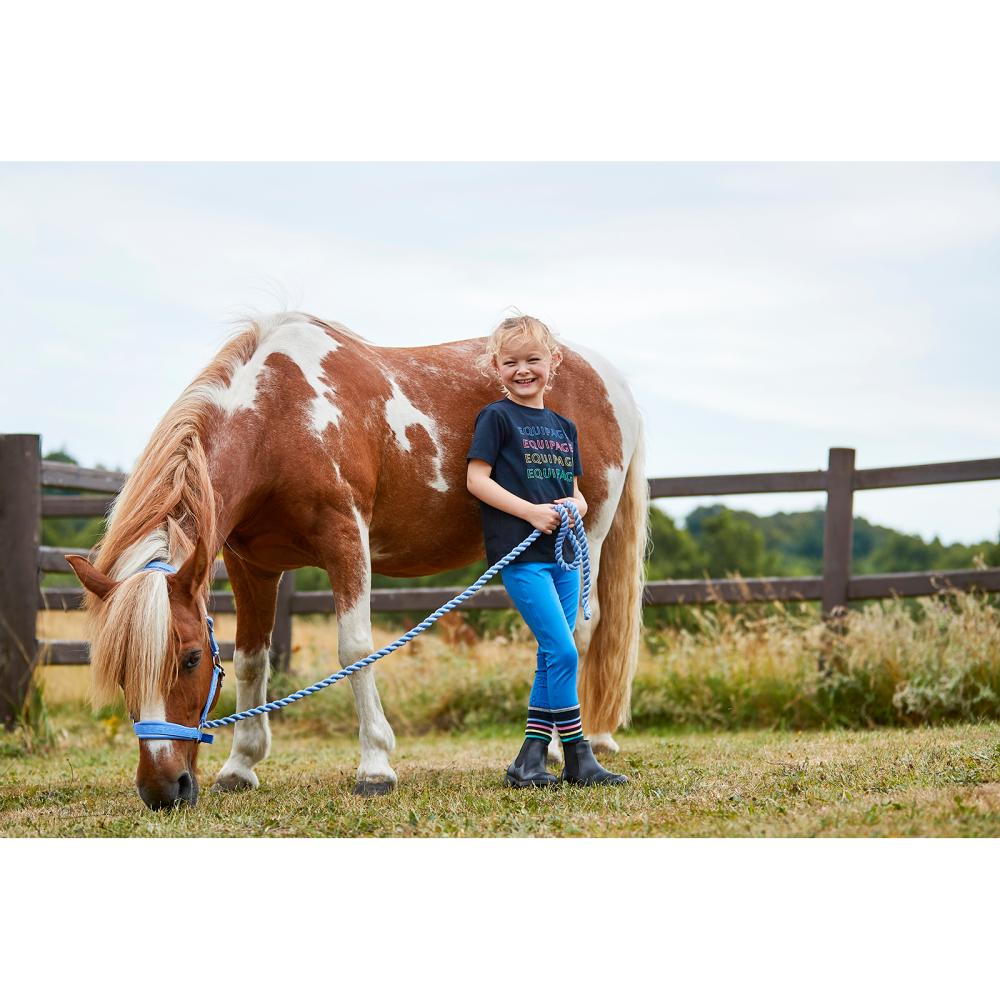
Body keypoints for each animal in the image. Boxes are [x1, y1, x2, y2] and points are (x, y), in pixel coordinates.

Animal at [67, 312, 648, 810]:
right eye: (119, 669)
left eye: (189, 659)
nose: (164, 789)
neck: (280, 418)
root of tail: (606, 378)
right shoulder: (252, 566)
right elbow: (251, 659)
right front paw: (240, 766)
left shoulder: (346, 539)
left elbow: (355, 649)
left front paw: (375, 766)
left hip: (585, 535)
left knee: (577, 632)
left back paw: (552, 750)